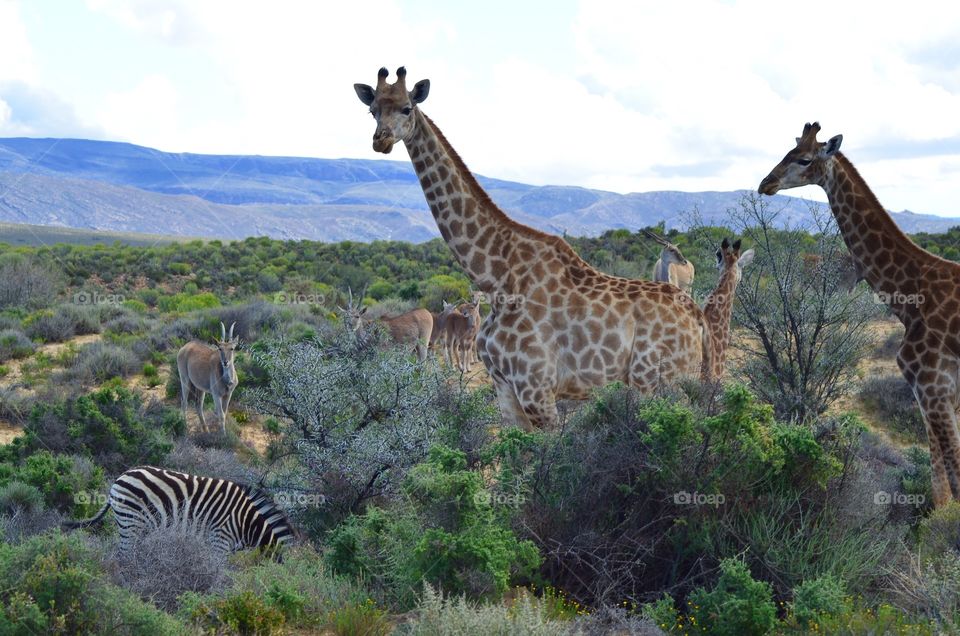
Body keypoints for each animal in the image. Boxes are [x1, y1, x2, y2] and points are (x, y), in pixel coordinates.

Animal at [62, 464, 294, 556]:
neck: (246, 522)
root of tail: (119, 478)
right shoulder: (220, 539)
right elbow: (219, 571)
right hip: (131, 521)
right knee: (123, 554)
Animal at [352, 67, 712, 430]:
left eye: (407, 108)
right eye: (372, 110)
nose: (380, 140)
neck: (496, 277)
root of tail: (697, 315)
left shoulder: (537, 389)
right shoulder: (504, 388)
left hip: (659, 382)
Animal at [756, 121, 960, 504]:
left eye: (804, 159)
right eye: (787, 152)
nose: (766, 183)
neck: (909, 296)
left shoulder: (932, 384)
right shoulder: (937, 391)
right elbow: (941, 486)